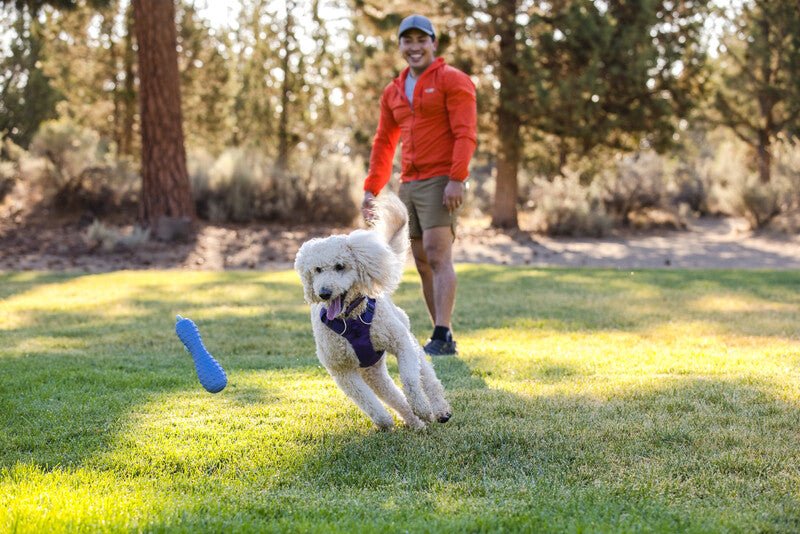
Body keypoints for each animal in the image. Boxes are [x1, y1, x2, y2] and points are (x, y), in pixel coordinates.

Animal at [296, 193, 454, 432]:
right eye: (317, 270)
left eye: (340, 266)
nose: (323, 293)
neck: (351, 318)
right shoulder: (342, 371)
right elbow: (368, 402)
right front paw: (386, 422)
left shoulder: (400, 343)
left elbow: (410, 381)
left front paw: (422, 407)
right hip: (372, 371)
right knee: (392, 394)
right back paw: (415, 422)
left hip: (406, 338)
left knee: (426, 376)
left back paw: (438, 410)